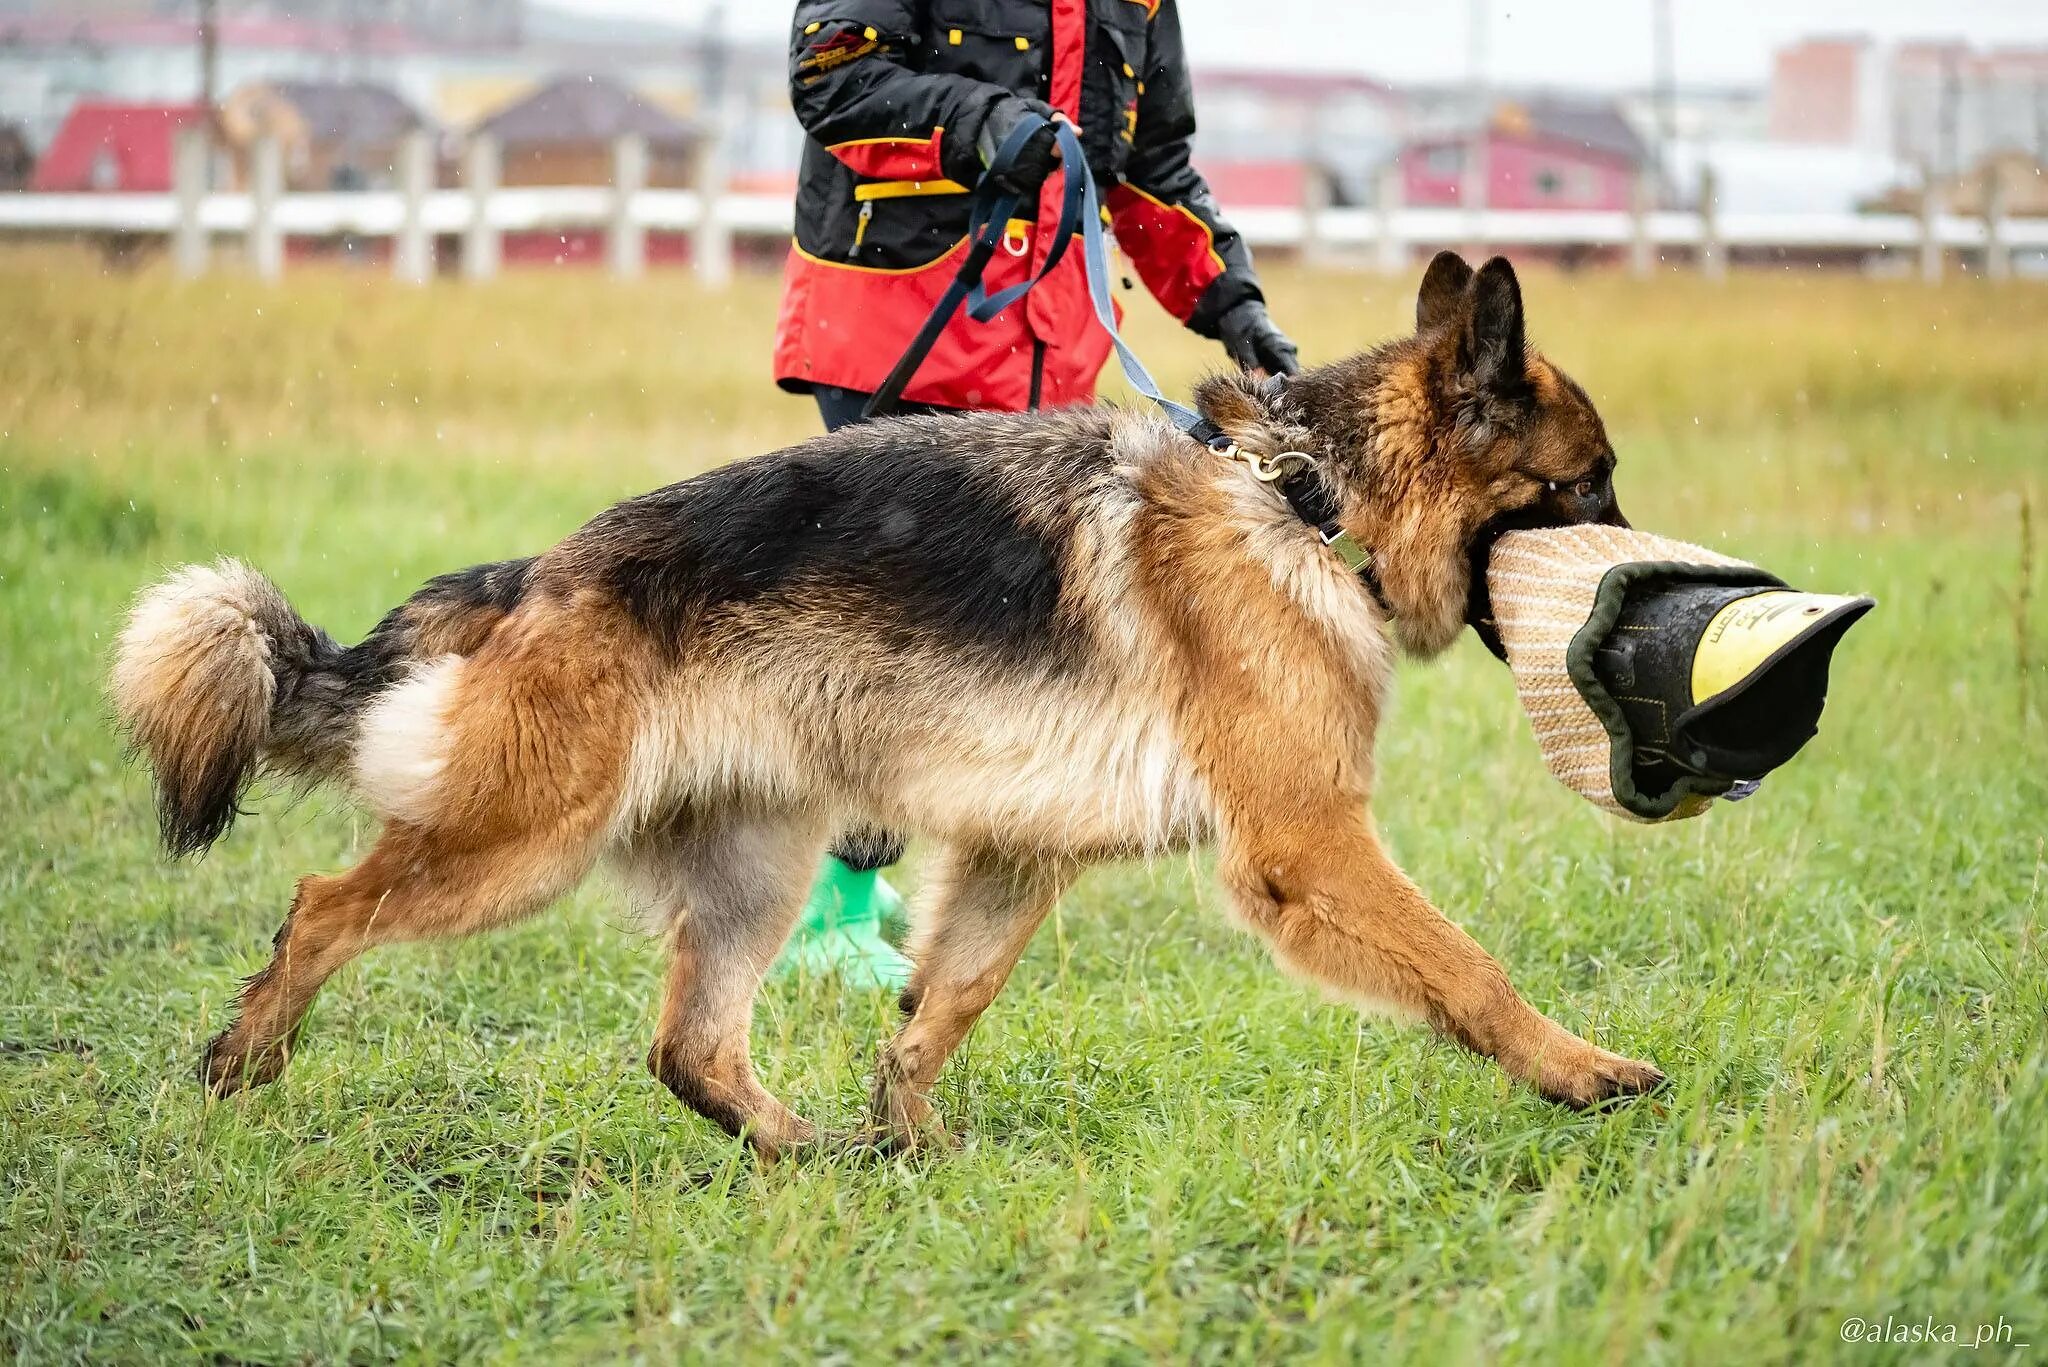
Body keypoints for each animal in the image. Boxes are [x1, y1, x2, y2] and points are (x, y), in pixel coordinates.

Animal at [112, 254, 1654, 1155]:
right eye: (1583, 485)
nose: (1642, 577)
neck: (1306, 500)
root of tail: (538, 571)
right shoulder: (1308, 842)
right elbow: (1467, 964)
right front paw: (1578, 1070)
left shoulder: (1017, 854)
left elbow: (943, 1000)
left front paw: (911, 1136)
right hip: (520, 840)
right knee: (323, 902)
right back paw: (241, 1060)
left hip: (758, 864)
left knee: (686, 1045)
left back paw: (803, 1149)